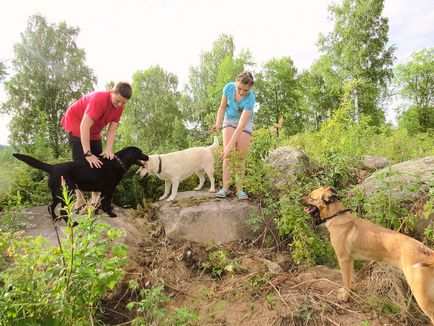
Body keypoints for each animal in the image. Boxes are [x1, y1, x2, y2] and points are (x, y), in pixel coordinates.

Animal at [12, 148, 148, 224]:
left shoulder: (104, 191)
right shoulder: (109, 190)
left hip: (57, 194)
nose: (147, 156)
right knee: (62, 210)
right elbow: (107, 203)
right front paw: (111, 214)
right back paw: (72, 224)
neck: (118, 162)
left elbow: (102, 203)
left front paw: (101, 212)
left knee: (51, 206)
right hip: (67, 193)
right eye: (140, 152)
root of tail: (52, 167)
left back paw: (55, 219)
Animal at [302, 186, 434, 324]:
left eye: (311, 197)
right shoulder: (350, 260)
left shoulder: (343, 259)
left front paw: (345, 296)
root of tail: (426, 252)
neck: (336, 216)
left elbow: (345, 280)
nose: (299, 200)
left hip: (421, 295)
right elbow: (349, 279)